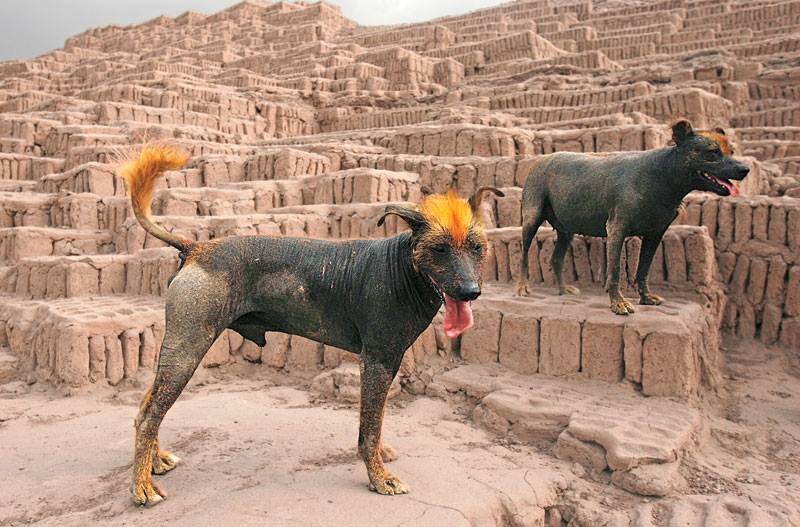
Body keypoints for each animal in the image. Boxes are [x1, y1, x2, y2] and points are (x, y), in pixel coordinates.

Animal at [520, 120, 752, 314]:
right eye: (713, 152)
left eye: (731, 151)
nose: (745, 169)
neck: (662, 175)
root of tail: (539, 161)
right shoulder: (616, 230)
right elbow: (614, 272)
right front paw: (618, 303)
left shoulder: (655, 235)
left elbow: (643, 270)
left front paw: (646, 298)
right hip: (531, 220)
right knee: (523, 256)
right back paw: (522, 287)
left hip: (566, 231)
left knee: (556, 259)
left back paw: (563, 290)